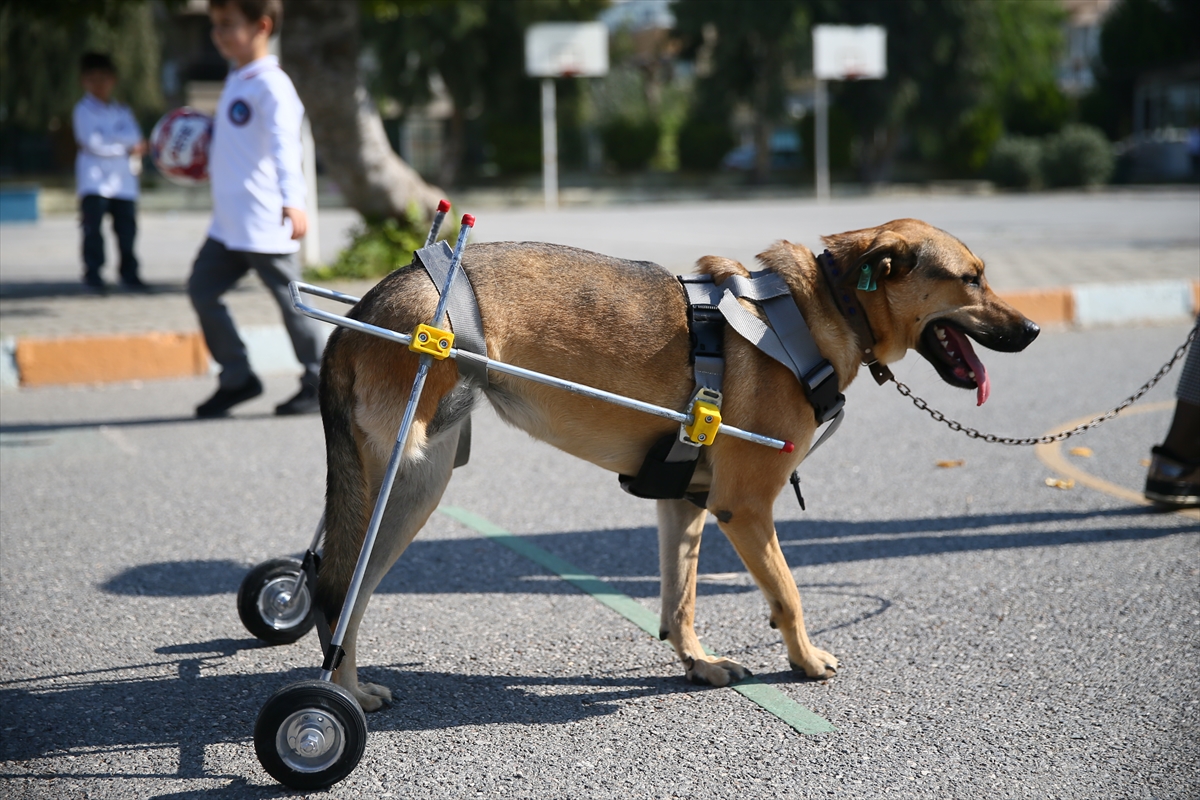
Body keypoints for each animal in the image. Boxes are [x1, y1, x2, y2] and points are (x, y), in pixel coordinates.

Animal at [314, 215, 1036, 710]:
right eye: (970, 278)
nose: (1031, 331)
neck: (824, 306)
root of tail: (367, 307)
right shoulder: (745, 507)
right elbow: (789, 593)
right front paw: (803, 659)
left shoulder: (683, 498)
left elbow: (680, 598)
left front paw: (699, 663)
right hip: (409, 477)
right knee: (339, 583)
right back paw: (340, 696)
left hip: (404, 477)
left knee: (333, 574)